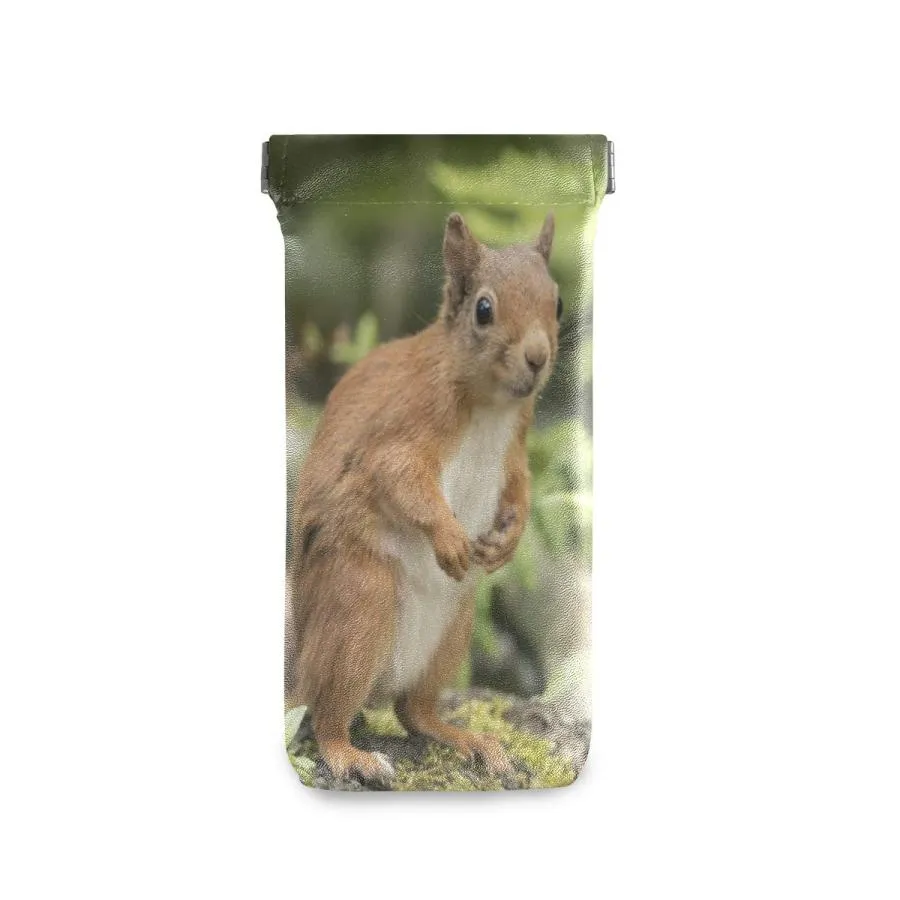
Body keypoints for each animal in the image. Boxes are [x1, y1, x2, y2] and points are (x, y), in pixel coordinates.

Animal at [287, 212, 561, 783]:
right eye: (484, 309)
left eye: (559, 303)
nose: (537, 357)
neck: (491, 407)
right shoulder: (405, 425)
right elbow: (399, 477)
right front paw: (451, 538)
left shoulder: (514, 450)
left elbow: (521, 488)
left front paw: (509, 540)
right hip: (359, 606)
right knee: (326, 715)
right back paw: (351, 755)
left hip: (453, 627)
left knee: (414, 712)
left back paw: (468, 739)